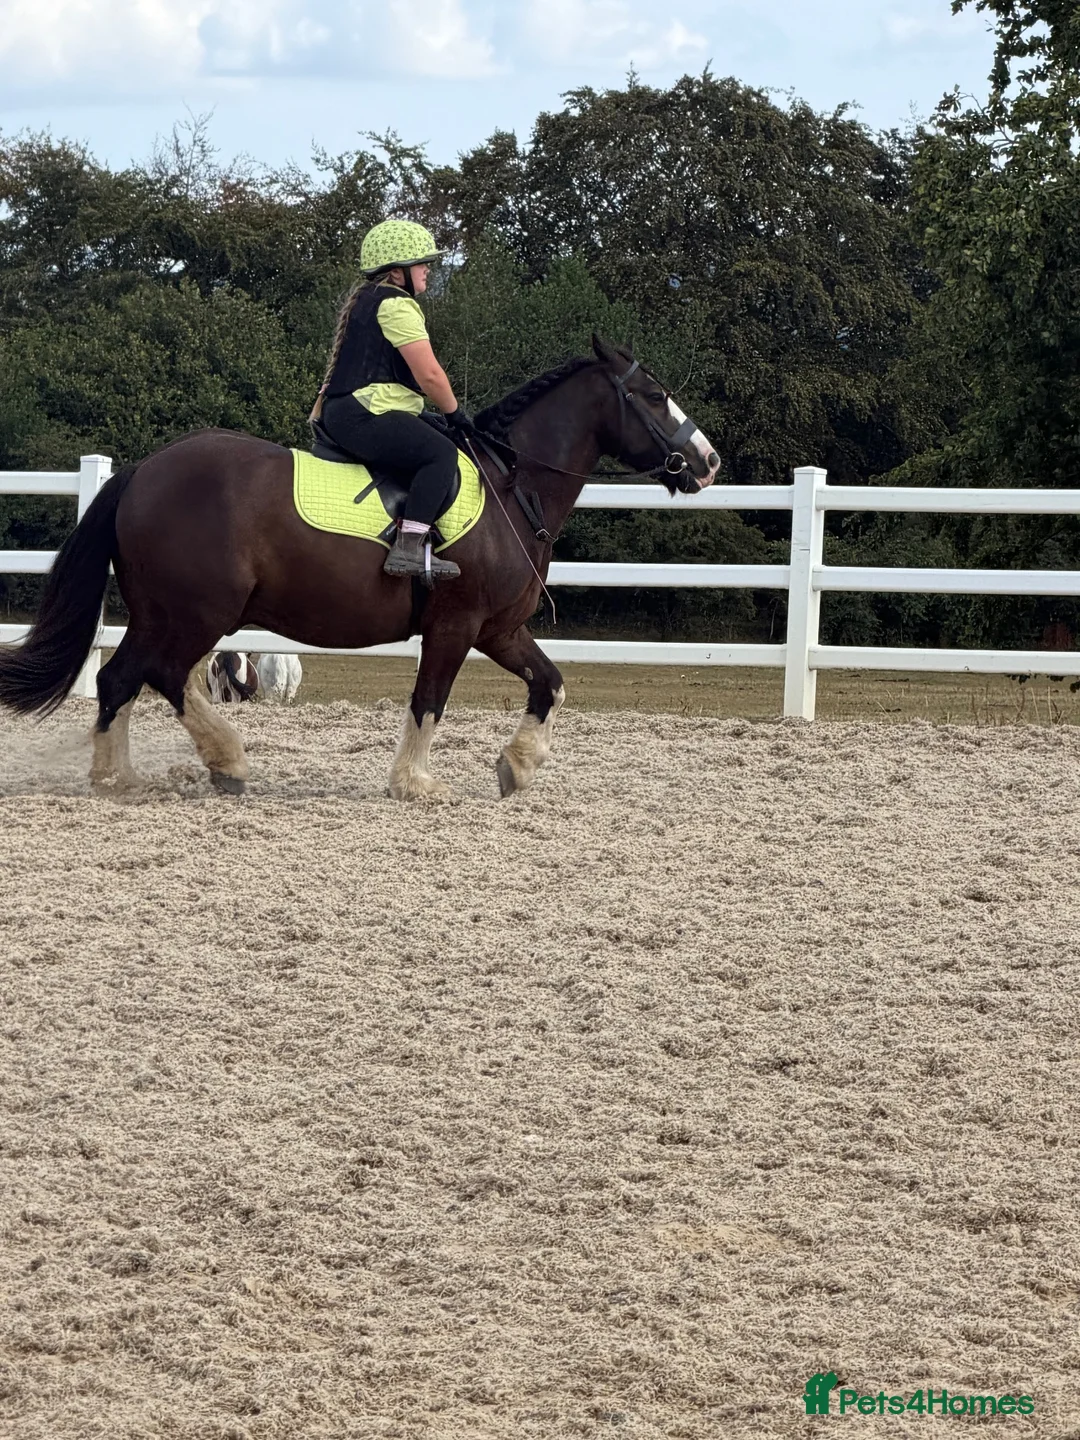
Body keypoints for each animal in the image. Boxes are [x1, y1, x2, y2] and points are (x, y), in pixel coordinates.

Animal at [0, 336, 719, 799]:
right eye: (655, 396)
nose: (707, 461)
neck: (511, 488)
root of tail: (143, 471)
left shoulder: (499, 630)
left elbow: (551, 684)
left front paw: (516, 768)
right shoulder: (456, 627)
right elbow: (429, 700)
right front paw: (415, 783)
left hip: (164, 614)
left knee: (120, 678)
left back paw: (118, 777)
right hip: (195, 615)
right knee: (159, 675)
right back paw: (223, 761)